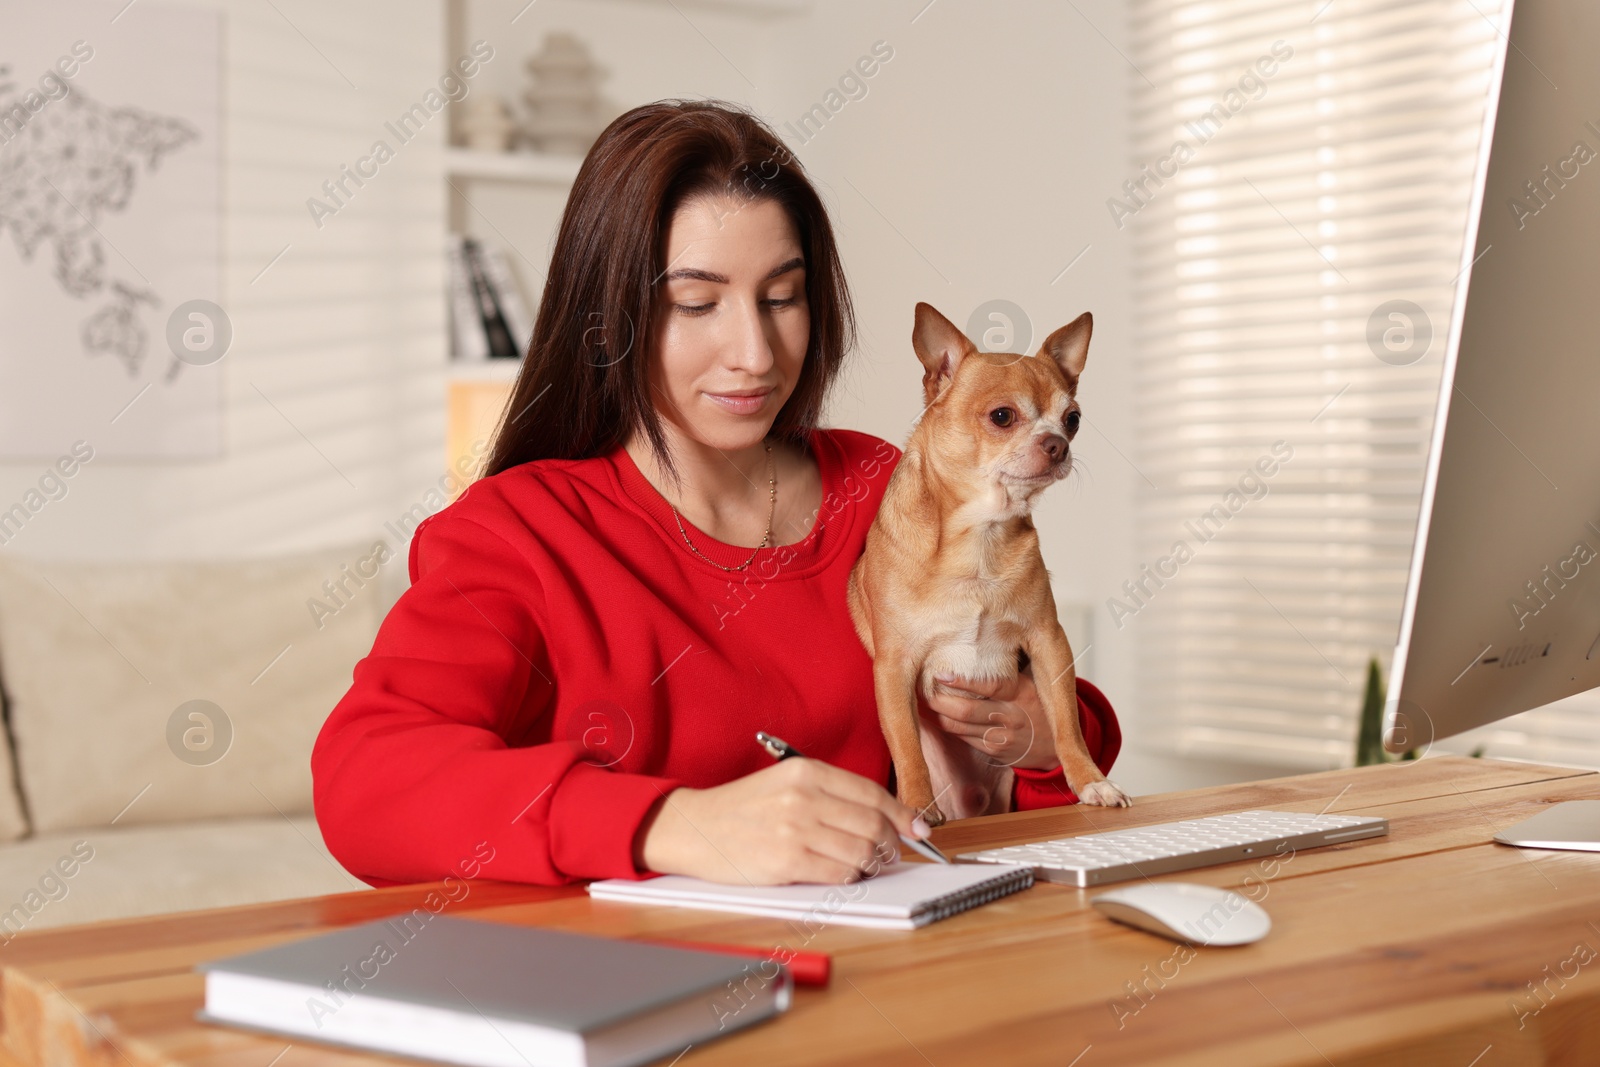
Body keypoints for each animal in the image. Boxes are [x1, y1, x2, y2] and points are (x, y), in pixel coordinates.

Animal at [844, 300, 1132, 825]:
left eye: (1073, 419)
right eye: (1002, 416)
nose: (1058, 443)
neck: (980, 538)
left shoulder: (1049, 642)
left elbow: (1067, 724)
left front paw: (1091, 782)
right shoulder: (894, 667)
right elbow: (906, 744)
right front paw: (915, 808)